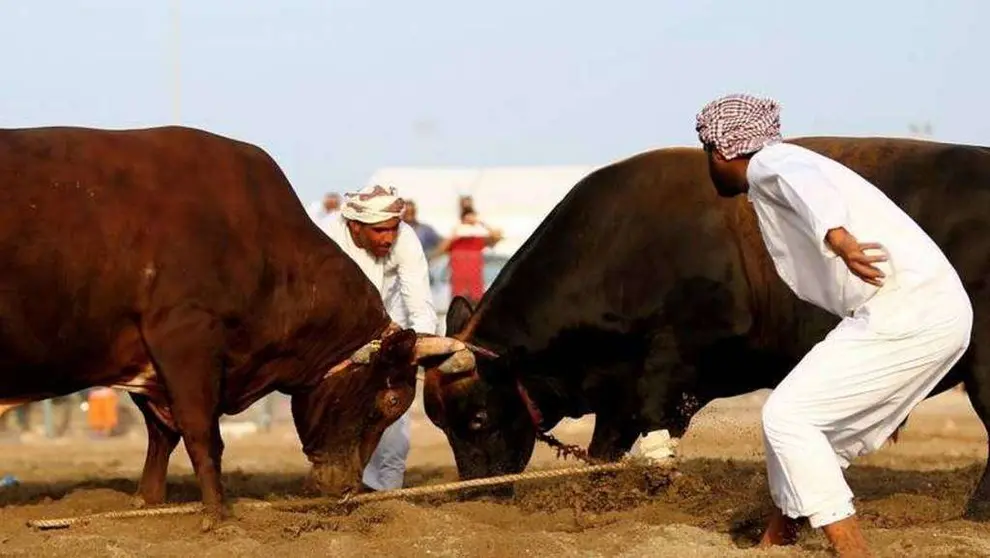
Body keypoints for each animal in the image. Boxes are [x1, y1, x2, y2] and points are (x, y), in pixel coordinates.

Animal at [424, 136, 990, 520]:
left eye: (478, 417)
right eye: (441, 424)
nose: (474, 494)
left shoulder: (671, 367)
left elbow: (654, 439)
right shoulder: (619, 389)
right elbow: (606, 450)